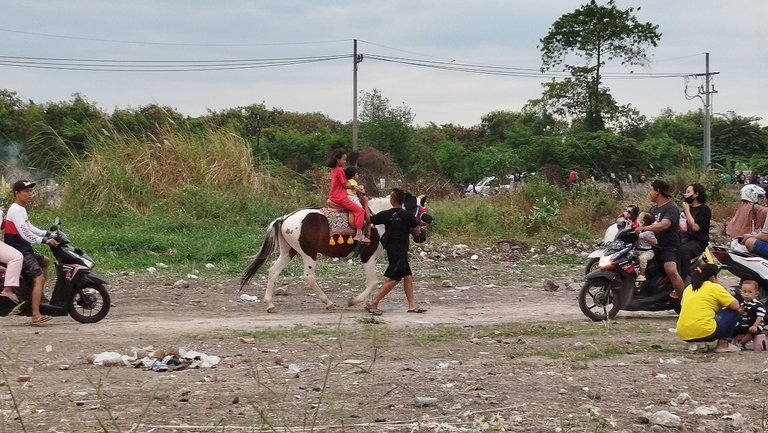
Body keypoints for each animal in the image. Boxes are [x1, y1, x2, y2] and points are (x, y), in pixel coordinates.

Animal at [242, 195, 408, 310]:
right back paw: (328, 302)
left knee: (273, 271)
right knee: (308, 276)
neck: (378, 220)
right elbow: (373, 282)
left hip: (288, 252)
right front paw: (353, 301)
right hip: (308, 253)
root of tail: (284, 219)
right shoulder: (369, 256)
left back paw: (270, 304)